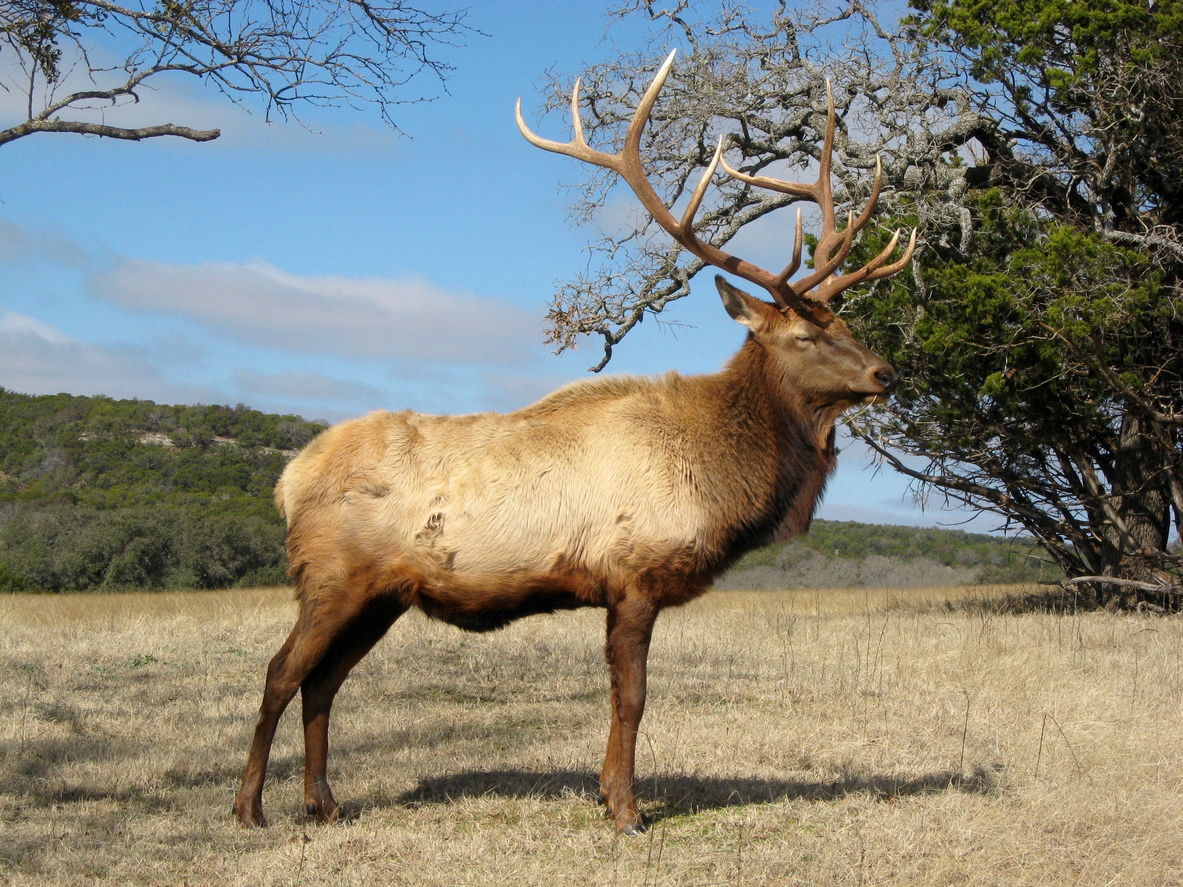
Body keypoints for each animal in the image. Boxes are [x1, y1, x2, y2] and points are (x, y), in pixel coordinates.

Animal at [233, 49, 915, 835]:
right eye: (806, 335)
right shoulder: (633, 575)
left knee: (322, 683)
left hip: (381, 594)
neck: (721, 477)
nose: (886, 371)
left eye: (845, 323)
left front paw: (607, 794)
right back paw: (250, 807)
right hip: (331, 575)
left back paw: (324, 802)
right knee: (280, 673)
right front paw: (624, 808)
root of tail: (287, 479)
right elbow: (633, 697)